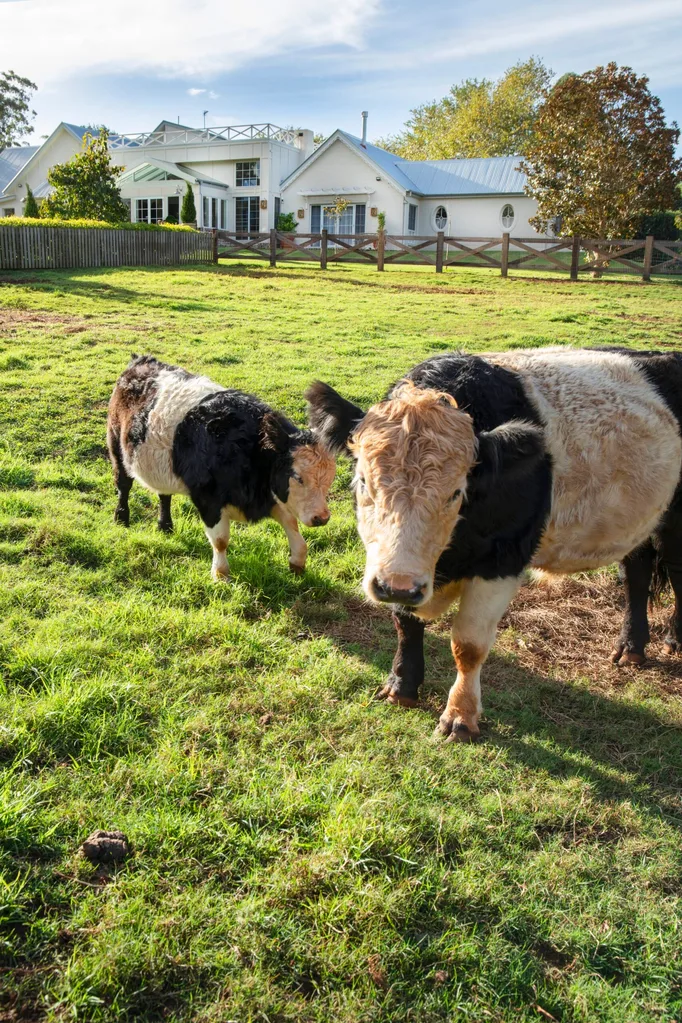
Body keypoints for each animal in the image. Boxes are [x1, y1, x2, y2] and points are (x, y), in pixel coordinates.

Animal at [107, 355, 336, 580]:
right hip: (116, 446)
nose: (322, 518)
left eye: (329, 480)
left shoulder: (269, 494)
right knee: (123, 484)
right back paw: (121, 518)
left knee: (164, 495)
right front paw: (220, 574)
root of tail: (139, 361)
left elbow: (292, 524)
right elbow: (220, 540)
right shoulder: (208, 500)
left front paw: (297, 562)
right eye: (297, 477)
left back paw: (165, 526)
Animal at [306, 347, 682, 742]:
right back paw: (631, 647)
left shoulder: (502, 561)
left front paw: (460, 717)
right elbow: (405, 622)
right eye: (364, 481)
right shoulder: (398, 569)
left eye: (456, 492)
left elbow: (468, 645)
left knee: (676, 570)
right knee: (637, 574)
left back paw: (673, 640)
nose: (397, 585)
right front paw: (401, 687)